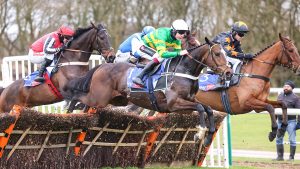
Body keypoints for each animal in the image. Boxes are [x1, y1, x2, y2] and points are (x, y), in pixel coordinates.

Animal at [63, 37, 232, 145]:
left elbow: (207, 108)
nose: (229, 72)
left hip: (116, 100)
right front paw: (200, 133)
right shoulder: (173, 104)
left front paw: (208, 137)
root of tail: (102, 66)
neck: (182, 70)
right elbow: (200, 108)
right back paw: (68, 112)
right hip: (99, 98)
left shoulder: (189, 100)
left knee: (85, 105)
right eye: (217, 54)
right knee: (78, 97)